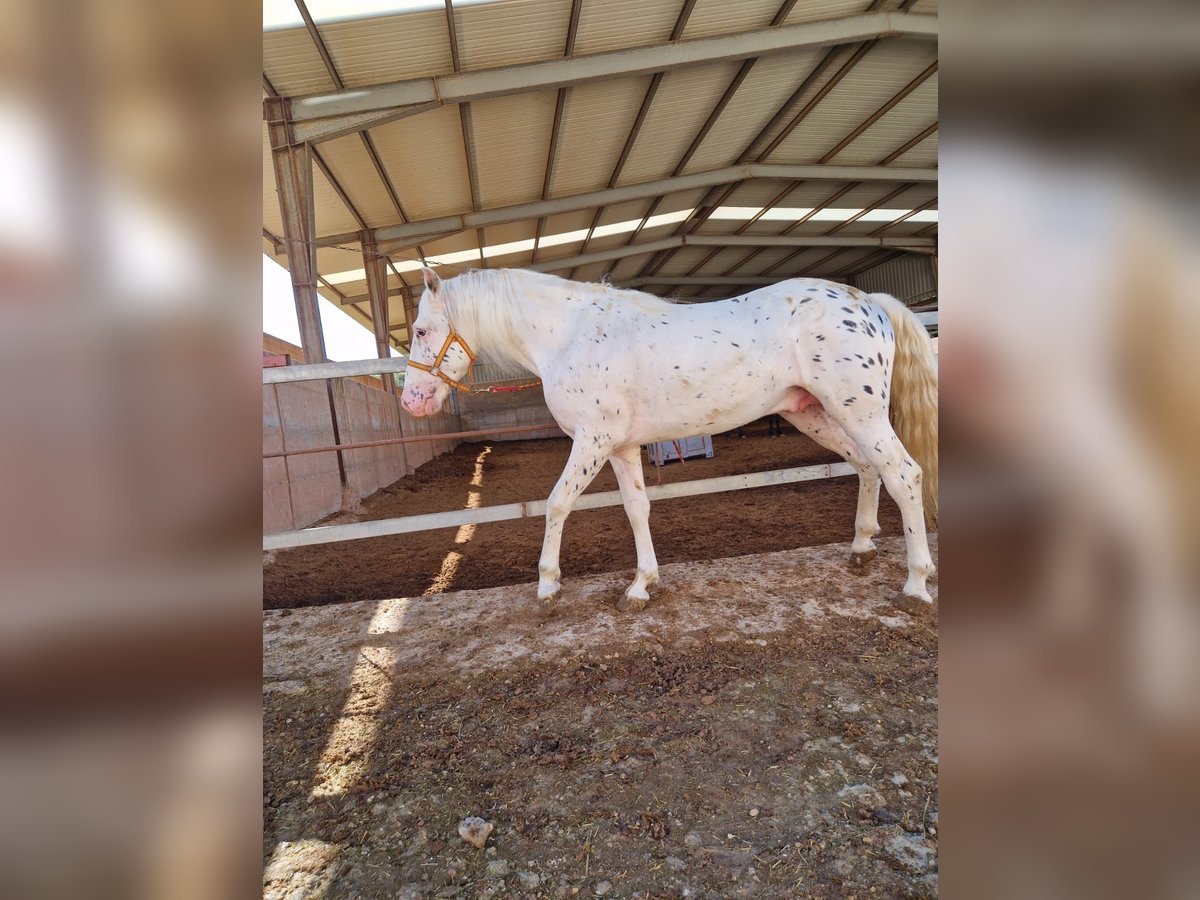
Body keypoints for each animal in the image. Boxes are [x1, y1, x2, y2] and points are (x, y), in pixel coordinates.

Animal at [403, 267, 936, 619]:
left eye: (421, 329)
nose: (412, 401)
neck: (570, 335)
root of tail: (869, 301)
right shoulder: (618, 448)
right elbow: (637, 509)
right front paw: (642, 585)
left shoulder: (591, 441)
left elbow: (557, 505)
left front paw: (548, 587)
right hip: (817, 413)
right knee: (867, 467)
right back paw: (862, 547)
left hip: (858, 411)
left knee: (904, 474)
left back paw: (916, 583)